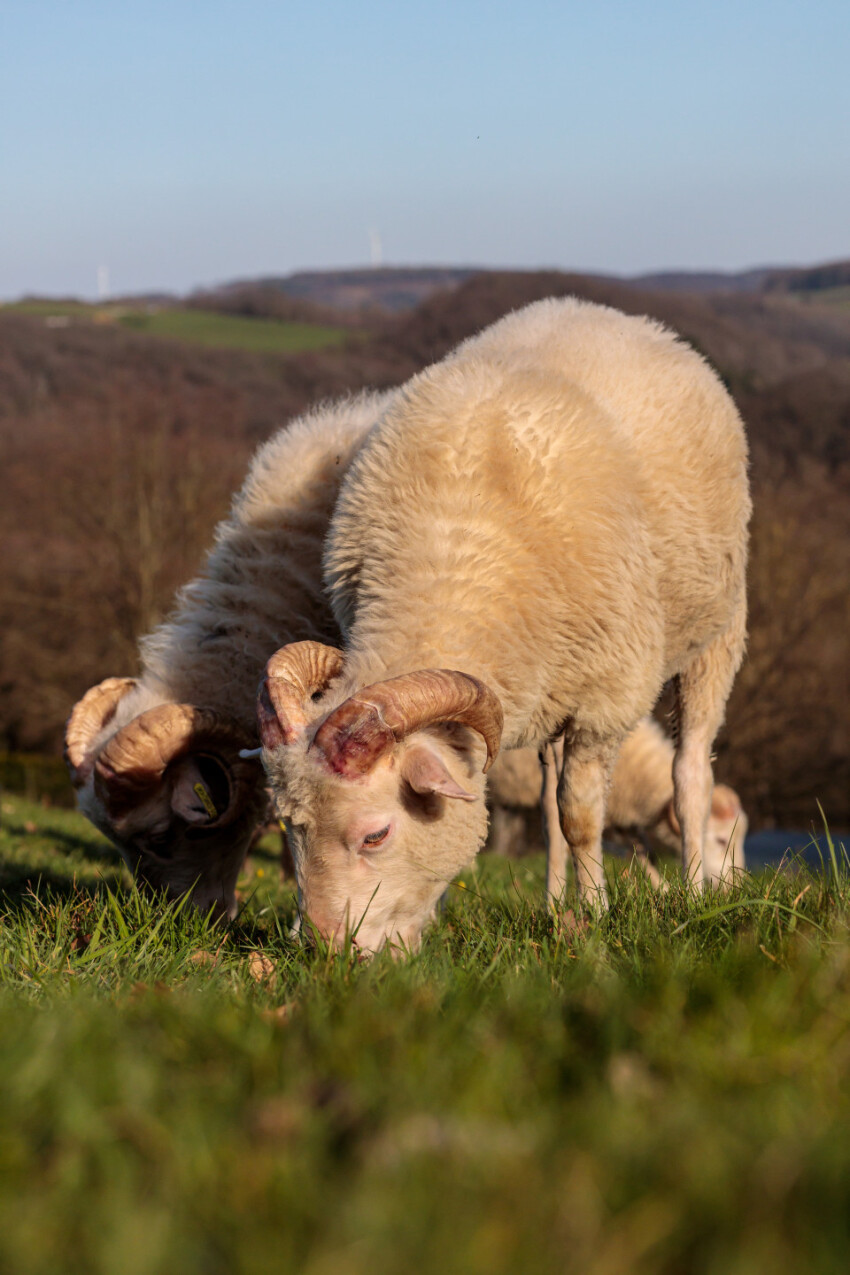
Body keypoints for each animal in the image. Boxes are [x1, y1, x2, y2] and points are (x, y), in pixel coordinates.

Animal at [489, 719, 749, 887]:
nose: (737, 886)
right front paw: (555, 901)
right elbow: (557, 836)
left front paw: (664, 891)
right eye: (721, 840)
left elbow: (643, 852)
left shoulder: (621, 813)